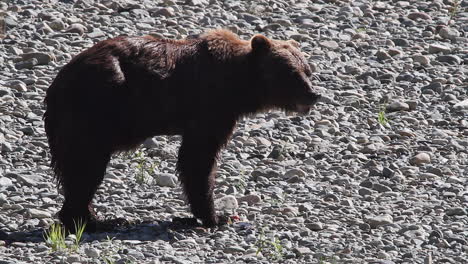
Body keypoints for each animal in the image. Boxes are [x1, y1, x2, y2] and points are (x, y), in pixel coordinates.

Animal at [44, 28, 320, 231]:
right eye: (291, 73)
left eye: (308, 70)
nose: (313, 94)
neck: (239, 86)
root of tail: (57, 84)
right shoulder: (210, 108)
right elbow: (197, 160)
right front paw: (217, 216)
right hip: (95, 110)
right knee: (86, 167)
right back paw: (97, 221)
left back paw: (95, 218)